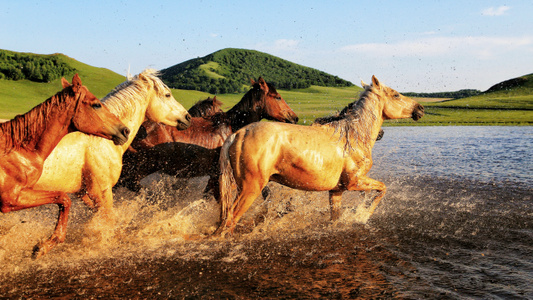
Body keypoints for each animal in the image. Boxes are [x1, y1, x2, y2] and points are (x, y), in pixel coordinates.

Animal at [0, 74, 129, 258]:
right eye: (96, 104)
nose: (125, 131)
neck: (18, 149)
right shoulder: (11, 199)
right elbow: (64, 198)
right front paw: (45, 245)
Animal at [212, 76, 424, 236]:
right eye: (396, 94)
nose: (420, 109)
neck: (353, 137)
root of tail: (237, 134)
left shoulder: (337, 191)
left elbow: (335, 218)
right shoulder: (354, 182)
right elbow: (382, 189)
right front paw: (362, 214)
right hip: (250, 189)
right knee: (229, 222)